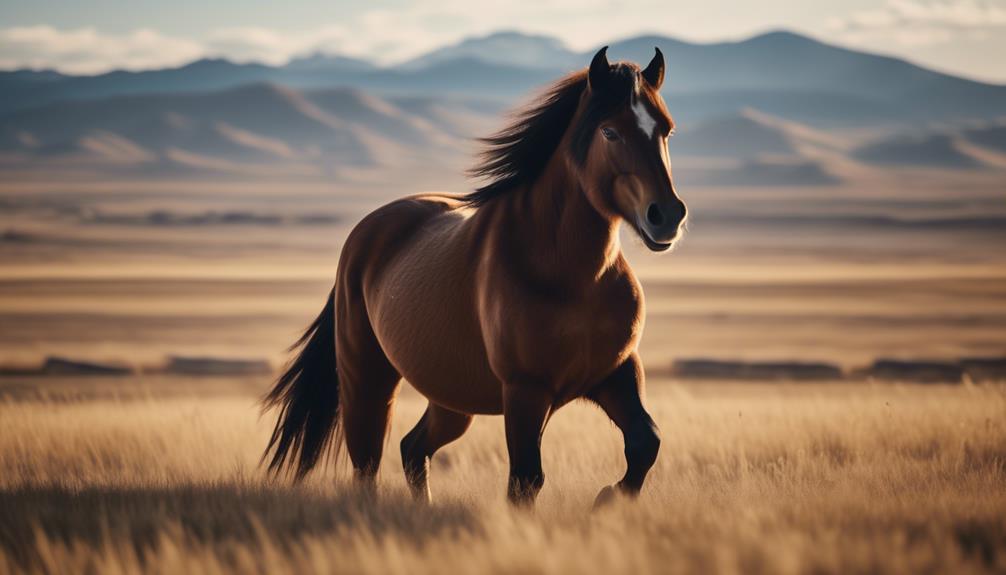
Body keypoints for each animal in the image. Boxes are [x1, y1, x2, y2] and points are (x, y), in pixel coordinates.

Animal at [261, 45, 684, 506]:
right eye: (610, 132)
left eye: (666, 130)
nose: (667, 216)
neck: (574, 277)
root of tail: (367, 231)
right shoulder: (525, 391)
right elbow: (525, 480)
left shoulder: (616, 372)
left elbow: (646, 444)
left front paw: (607, 499)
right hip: (368, 380)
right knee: (368, 465)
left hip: (451, 399)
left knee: (413, 447)